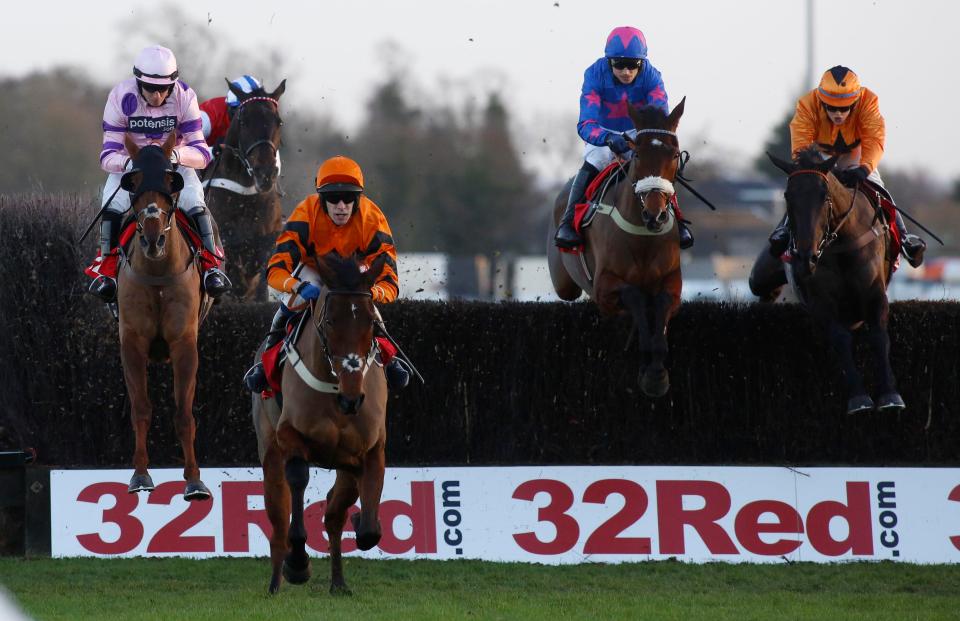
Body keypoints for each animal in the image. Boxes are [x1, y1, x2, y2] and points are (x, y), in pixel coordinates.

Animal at [118, 132, 212, 498]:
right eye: (133, 183)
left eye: (171, 183)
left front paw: (194, 480)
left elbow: (184, 414)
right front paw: (141, 475)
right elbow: (141, 409)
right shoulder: (132, 341)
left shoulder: (184, 342)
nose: (154, 239)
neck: (158, 272)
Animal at [255, 253, 394, 596]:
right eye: (330, 321)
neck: (336, 390)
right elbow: (298, 482)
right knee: (279, 519)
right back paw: (277, 581)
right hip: (270, 452)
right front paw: (297, 564)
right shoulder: (290, 437)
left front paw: (363, 523)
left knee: (333, 514)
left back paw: (339, 583)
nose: (352, 399)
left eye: (372, 323)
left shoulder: (371, 450)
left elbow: (368, 530)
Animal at [548, 98, 688, 394]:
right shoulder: (603, 287)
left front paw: (656, 372)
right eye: (637, 155)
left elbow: (661, 303)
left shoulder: (673, 283)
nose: (656, 214)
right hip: (564, 284)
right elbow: (635, 296)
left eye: (674, 154)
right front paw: (650, 370)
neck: (643, 236)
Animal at [752, 148, 900, 414]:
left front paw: (890, 394)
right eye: (787, 195)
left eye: (825, 195)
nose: (805, 257)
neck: (841, 243)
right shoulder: (820, 300)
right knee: (761, 289)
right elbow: (840, 338)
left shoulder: (874, 292)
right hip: (760, 276)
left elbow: (879, 336)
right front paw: (859, 398)